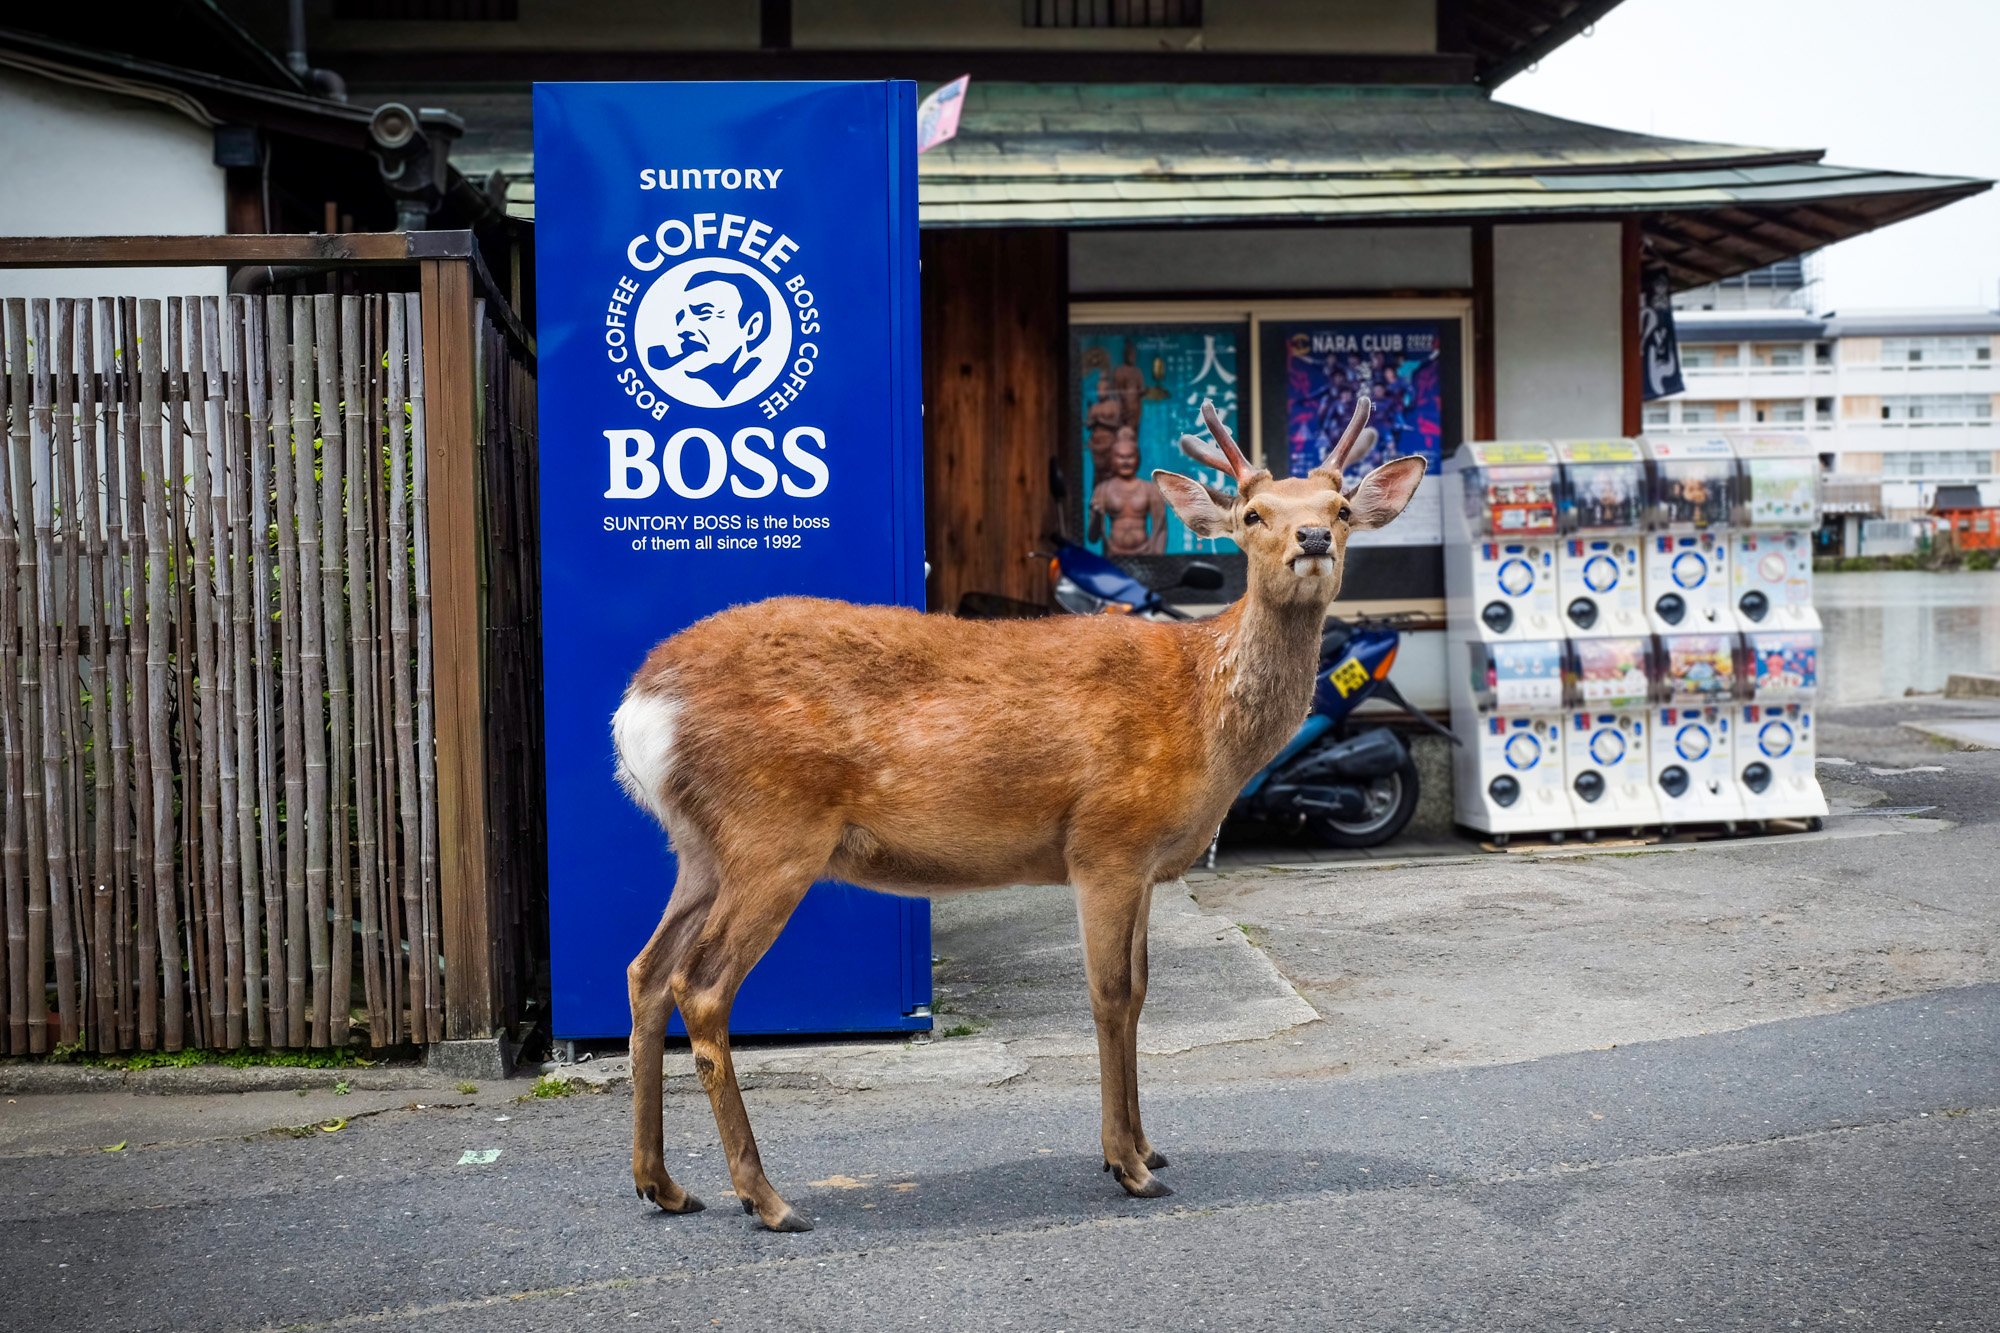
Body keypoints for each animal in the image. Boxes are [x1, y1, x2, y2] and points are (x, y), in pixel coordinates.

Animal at [608, 392, 1424, 1224]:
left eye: (1342, 507)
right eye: (1254, 513)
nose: (1312, 538)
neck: (1202, 712)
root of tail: (639, 706)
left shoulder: (1143, 866)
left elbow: (1141, 992)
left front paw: (1147, 1145)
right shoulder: (1105, 841)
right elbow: (1110, 994)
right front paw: (1129, 1164)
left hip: (701, 847)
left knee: (646, 970)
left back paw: (664, 1184)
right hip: (773, 832)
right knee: (702, 985)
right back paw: (766, 1197)